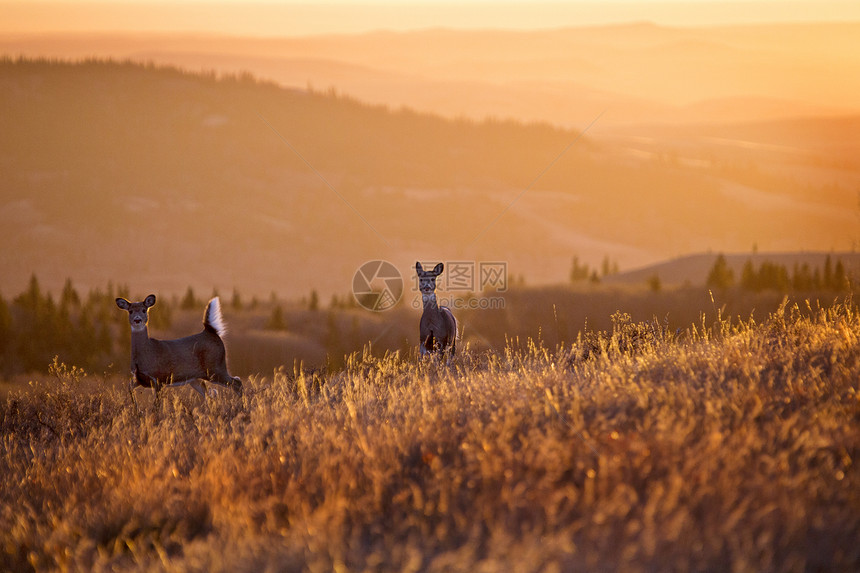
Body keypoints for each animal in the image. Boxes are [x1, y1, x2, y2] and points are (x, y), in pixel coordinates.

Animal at [114, 292, 242, 400]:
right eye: (130, 311)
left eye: (144, 310)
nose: (137, 320)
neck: (146, 354)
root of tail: (210, 331)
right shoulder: (137, 378)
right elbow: (129, 389)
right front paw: (137, 411)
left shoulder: (159, 378)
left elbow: (156, 405)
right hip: (196, 378)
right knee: (209, 395)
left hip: (215, 367)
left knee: (237, 383)